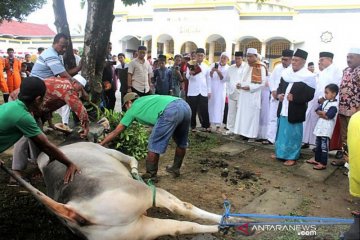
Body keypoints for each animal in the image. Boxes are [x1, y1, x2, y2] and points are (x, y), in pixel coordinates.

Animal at [18, 142, 235, 240]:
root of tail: (73, 208)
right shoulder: (106, 150)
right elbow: (131, 158)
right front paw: (134, 169)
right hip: (143, 193)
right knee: (182, 208)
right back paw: (230, 220)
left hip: (137, 230)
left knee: (180, 226)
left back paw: (223, 227)